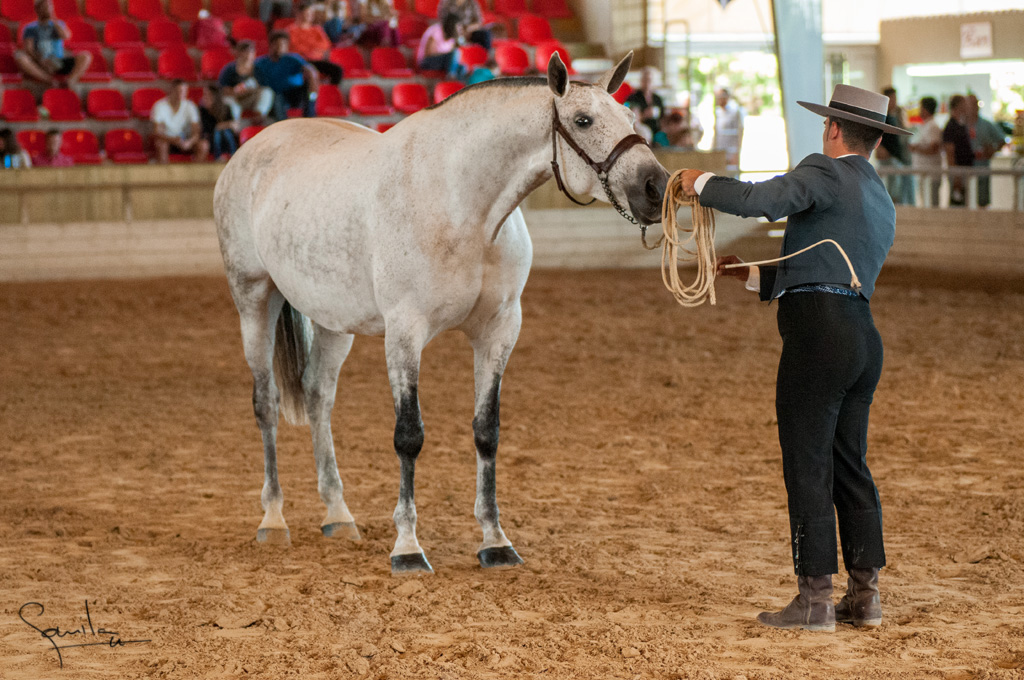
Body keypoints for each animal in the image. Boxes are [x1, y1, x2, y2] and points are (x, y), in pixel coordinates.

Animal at [211, 54, 667, 573]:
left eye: (630, 116)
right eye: (583, 120)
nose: (655, 187)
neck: (461, 204)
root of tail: (252, 148)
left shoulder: (498, 330)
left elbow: (486, 431)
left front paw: (495, 540)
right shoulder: (405, 332)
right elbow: (408, 435)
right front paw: (407, 547)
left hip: (332, 321)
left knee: (317, 397)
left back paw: (338, 515)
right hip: (253, 299)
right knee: (265, 403)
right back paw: (273, 519)